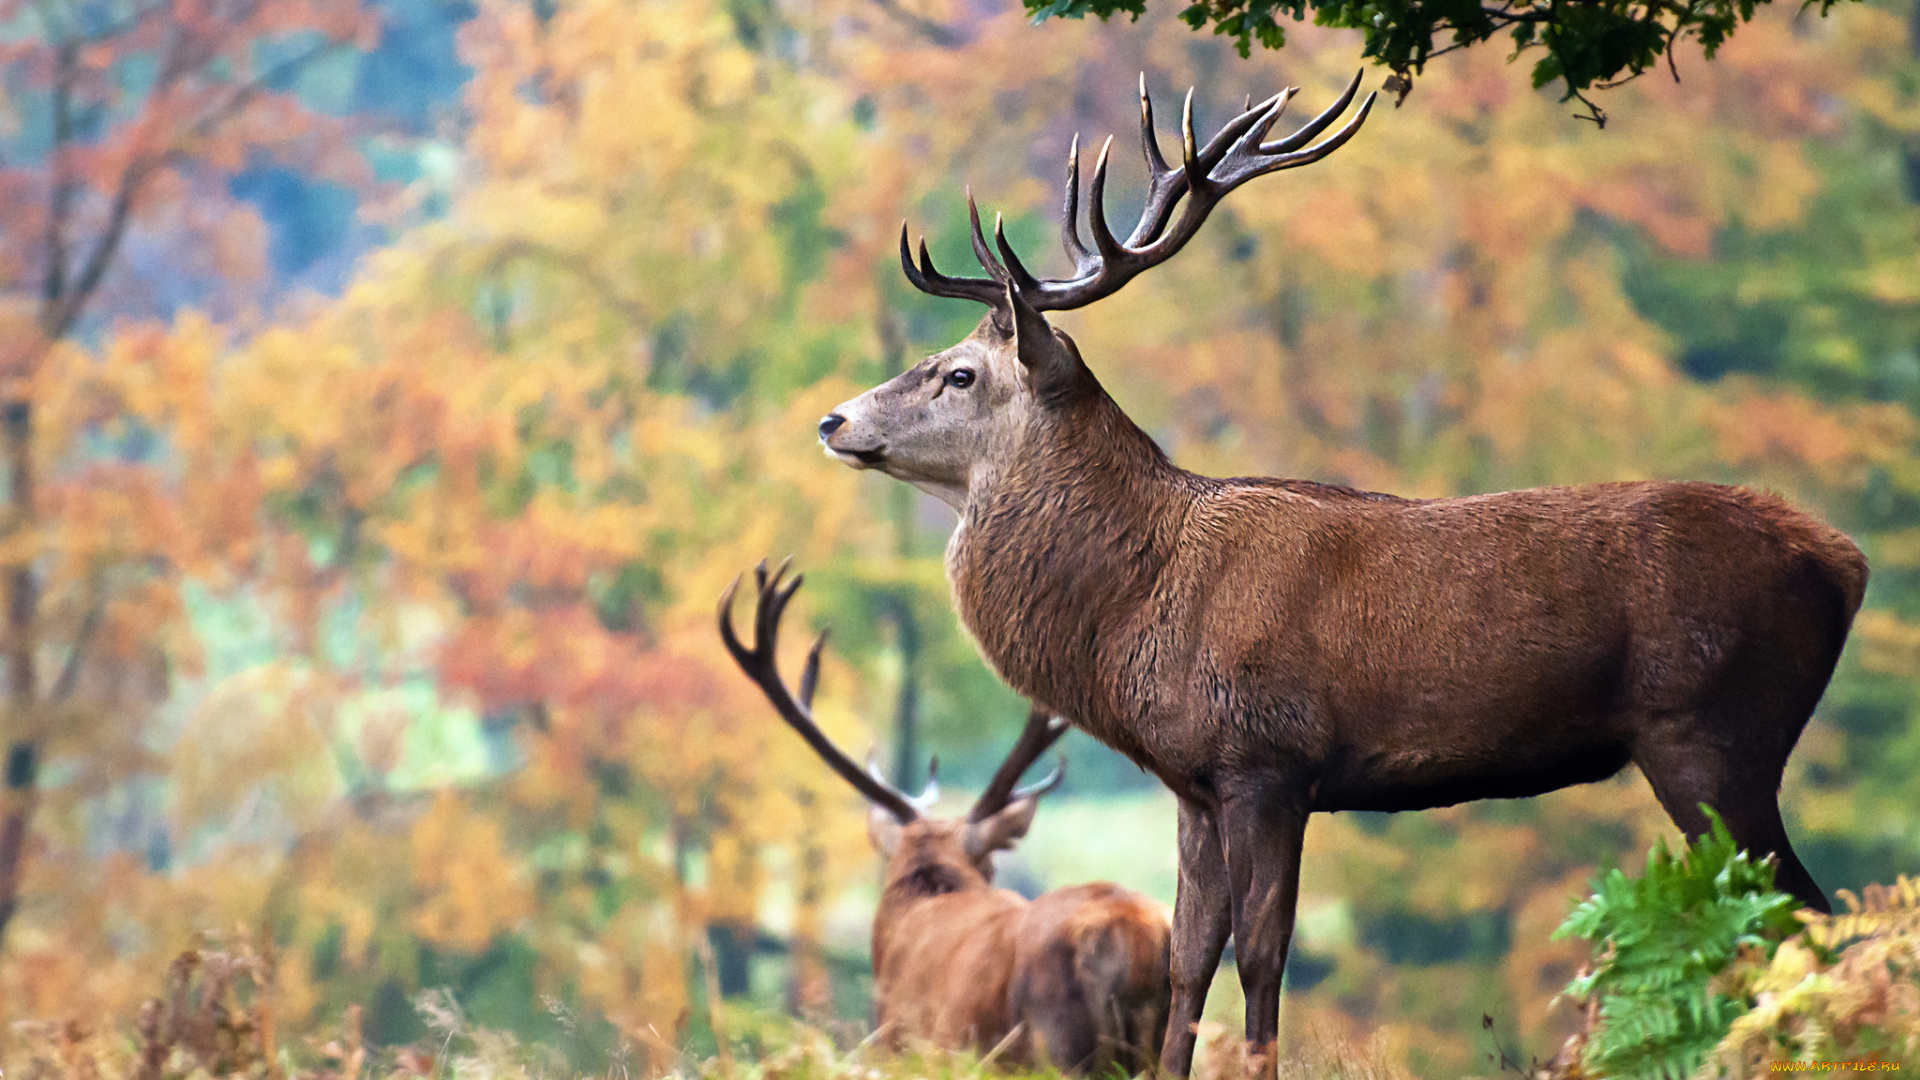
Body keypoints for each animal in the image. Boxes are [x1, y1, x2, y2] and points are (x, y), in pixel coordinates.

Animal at [814, 71, 1873, 1068]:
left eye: (960, 374)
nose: (833, 419)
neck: (1138, 610)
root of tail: (1847, 561)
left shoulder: (1269, 759)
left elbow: (1260, 955)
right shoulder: (1194, 783)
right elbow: (1189, 957)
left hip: (1713, 730)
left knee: (1803, 909)